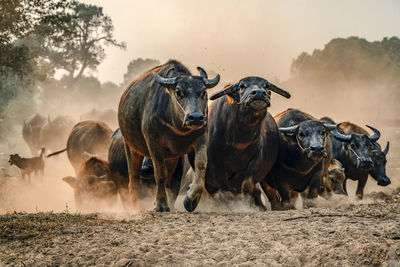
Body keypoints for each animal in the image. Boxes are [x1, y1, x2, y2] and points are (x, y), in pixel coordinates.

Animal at [117, 59, 220, 213]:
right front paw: (160, 204)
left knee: (170, 178)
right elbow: (160, 173)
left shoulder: (201, 138)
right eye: (178, 92)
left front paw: (191, 199)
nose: (195, 117)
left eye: (203, 92)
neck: (177, 127)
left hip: (172, 157)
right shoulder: (153, 143)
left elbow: (201, 165)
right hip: (131, 147)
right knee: (133, 178)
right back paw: (134, 205)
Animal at [198, 76, 290, 210]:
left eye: (266, 85)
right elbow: (225, 189)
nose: (259, 93)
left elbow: (246, 186)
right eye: (242, 86)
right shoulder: (216, 164)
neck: (239, 141)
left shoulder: (256, 161)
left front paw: (245, 206)